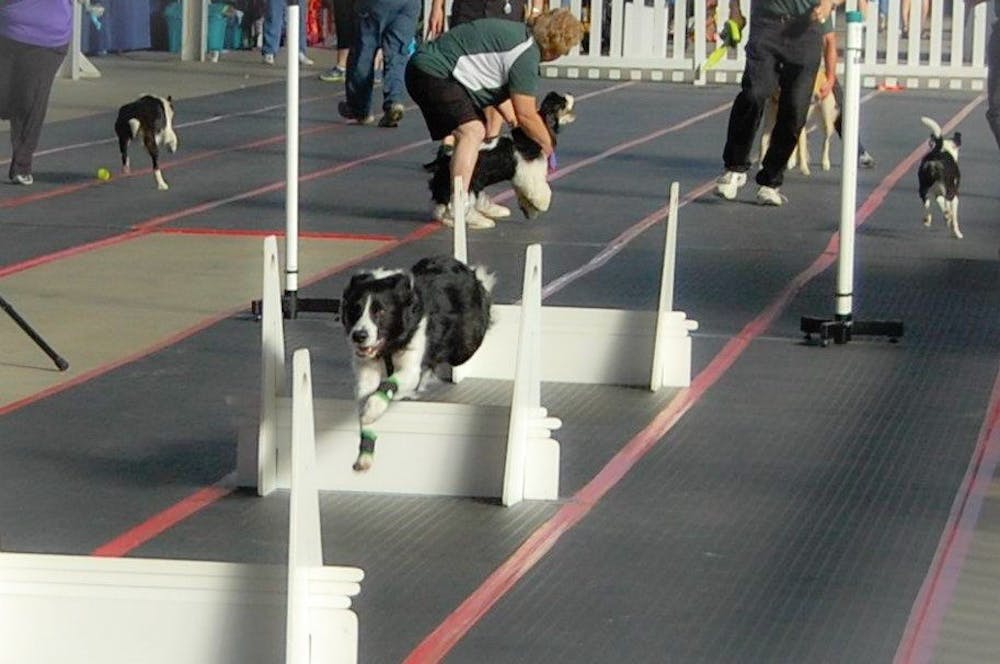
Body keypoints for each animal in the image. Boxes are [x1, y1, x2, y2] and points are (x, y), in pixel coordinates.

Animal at [342, 255, 494, 472]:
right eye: (355, 309)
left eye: (380, 311)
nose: (359, 336)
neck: (389, 346)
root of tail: (465, 269)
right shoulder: (366, 373)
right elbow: (366, 397)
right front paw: (365, 454)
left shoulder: (411, 367)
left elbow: (387, 385)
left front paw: (372, 410)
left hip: (464, 346)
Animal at [426, 90, 576, 223]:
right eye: (562, 102)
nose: (569, 94)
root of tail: (442, 159)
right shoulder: (530, 173)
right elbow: (542, 191)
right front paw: (542, 204)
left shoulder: (520, 177)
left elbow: (524, 195)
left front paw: (530, 210)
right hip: (465, 183)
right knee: (451, 206)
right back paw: (480, 222)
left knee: (441, 208)